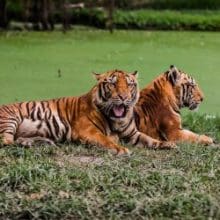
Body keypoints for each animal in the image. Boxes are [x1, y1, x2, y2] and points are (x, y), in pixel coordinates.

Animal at [0, 69, 175, 155]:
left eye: (129, 84)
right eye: (112, 84)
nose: (123, 97)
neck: (118, 120)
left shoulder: (133, 133)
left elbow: (150, 139)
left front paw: (167, 144)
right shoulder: (87, 130)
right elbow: (106, 140)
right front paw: (120, 149)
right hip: (9, 119)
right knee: (6, 141)